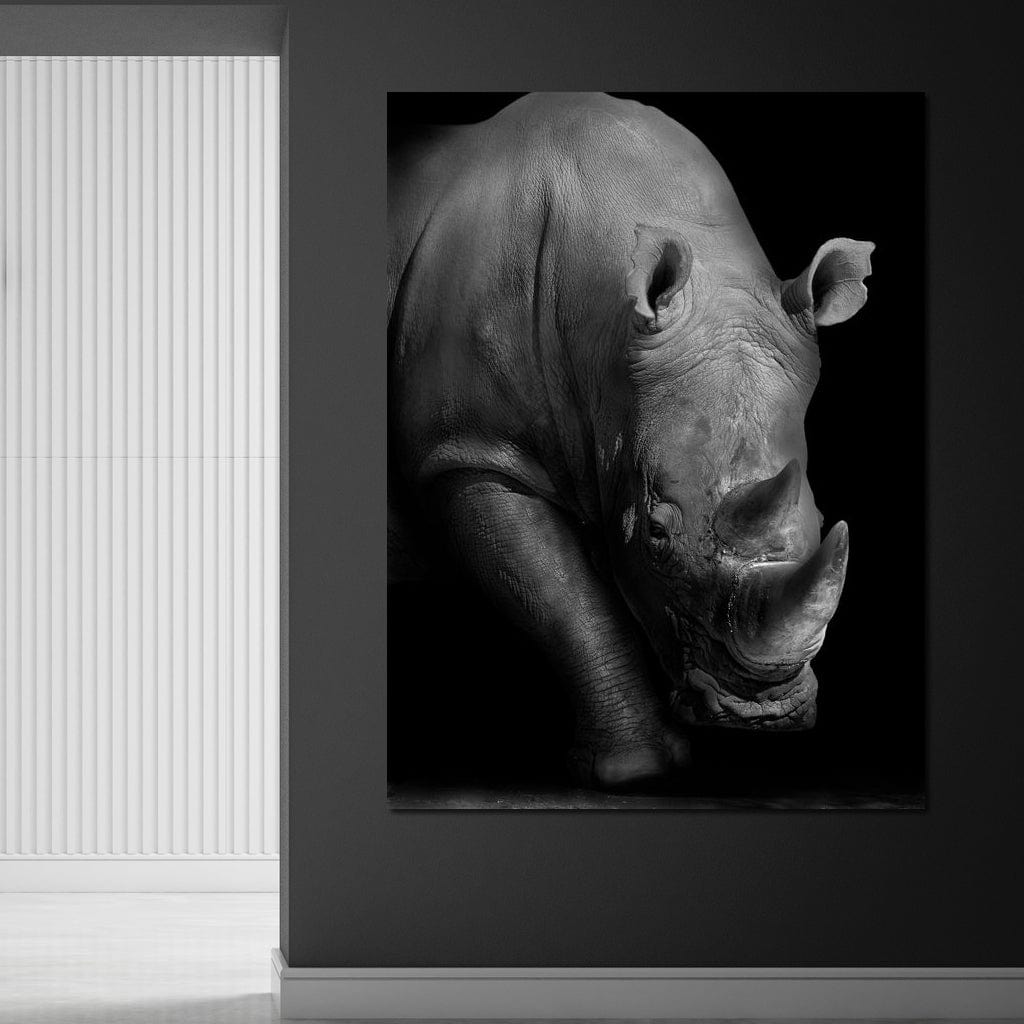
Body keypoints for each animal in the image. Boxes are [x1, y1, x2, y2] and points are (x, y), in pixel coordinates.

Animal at [388, 92, 873, 789]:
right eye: (656, 533)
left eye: (818, 514)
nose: (761, 715)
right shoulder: (467, 450)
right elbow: (563, 597)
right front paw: (635, 772)